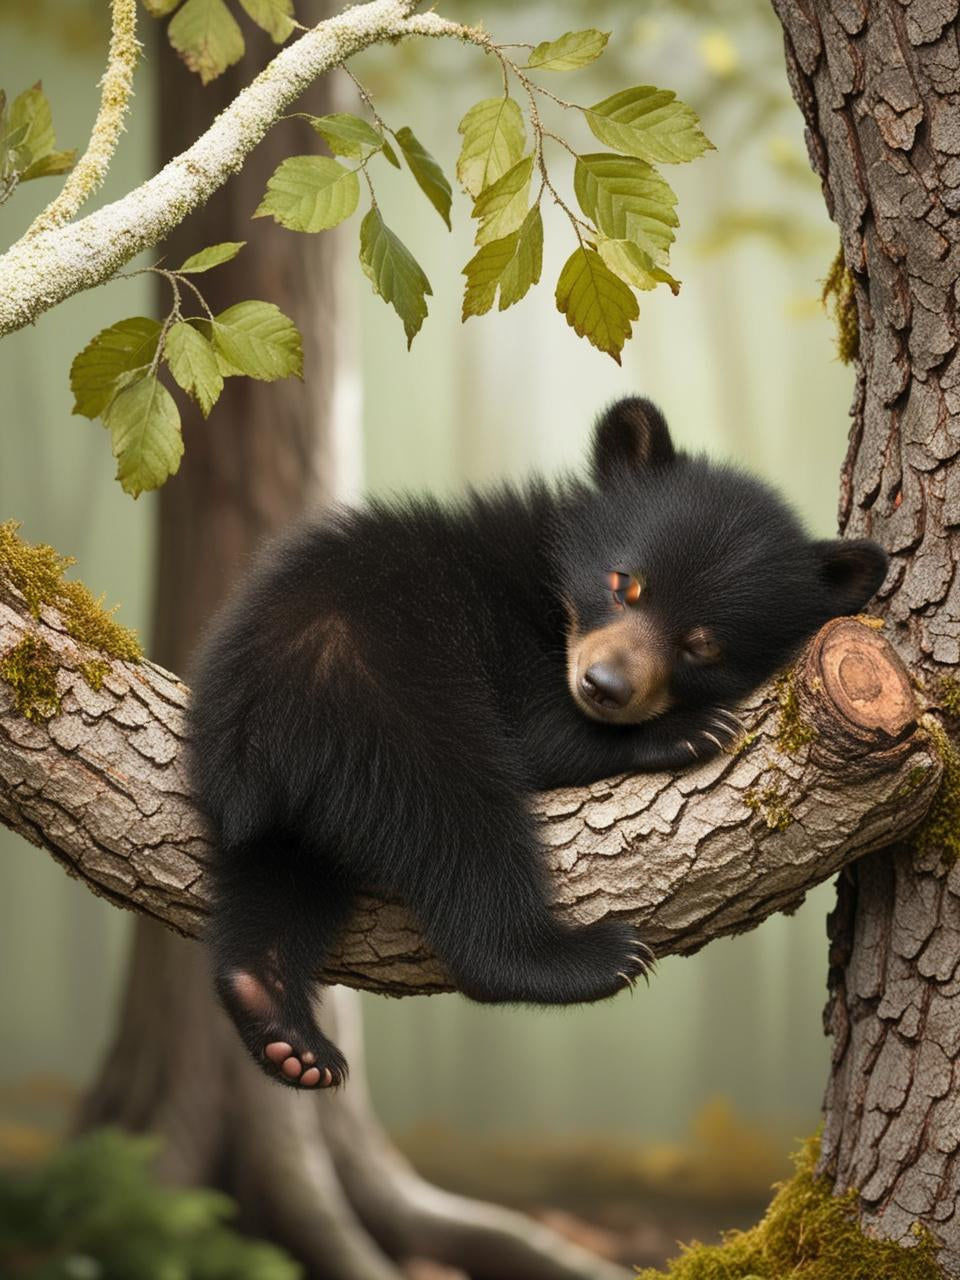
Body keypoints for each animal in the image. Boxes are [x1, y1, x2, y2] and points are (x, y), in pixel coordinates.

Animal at [186, 397, 888, 1090]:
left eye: (704, 645)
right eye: (624, 583)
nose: (605, 686)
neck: (554, 603)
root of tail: (254, 729)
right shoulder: (498, 639)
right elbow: (538, 735)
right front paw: (689, 731)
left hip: (286, 805)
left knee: (279, 878)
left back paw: (281, 1024)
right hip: (388, 699)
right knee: (462, 826)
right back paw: (591, 956)